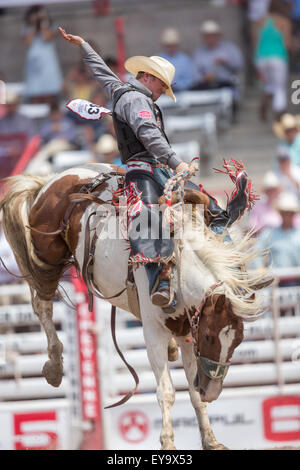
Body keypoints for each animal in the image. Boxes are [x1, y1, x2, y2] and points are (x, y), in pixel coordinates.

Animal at [0, 163, 268, 450]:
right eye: (209, 336)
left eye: (238, 341)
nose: (213, 392)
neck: (180, 264)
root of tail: (53, 180)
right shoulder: (155, 332)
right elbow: (166, 392)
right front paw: (167, 442)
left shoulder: (186, 330)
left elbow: (192, 391)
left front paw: (211, 440)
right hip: (46, 260)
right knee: (42, 305)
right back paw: (54, 366)